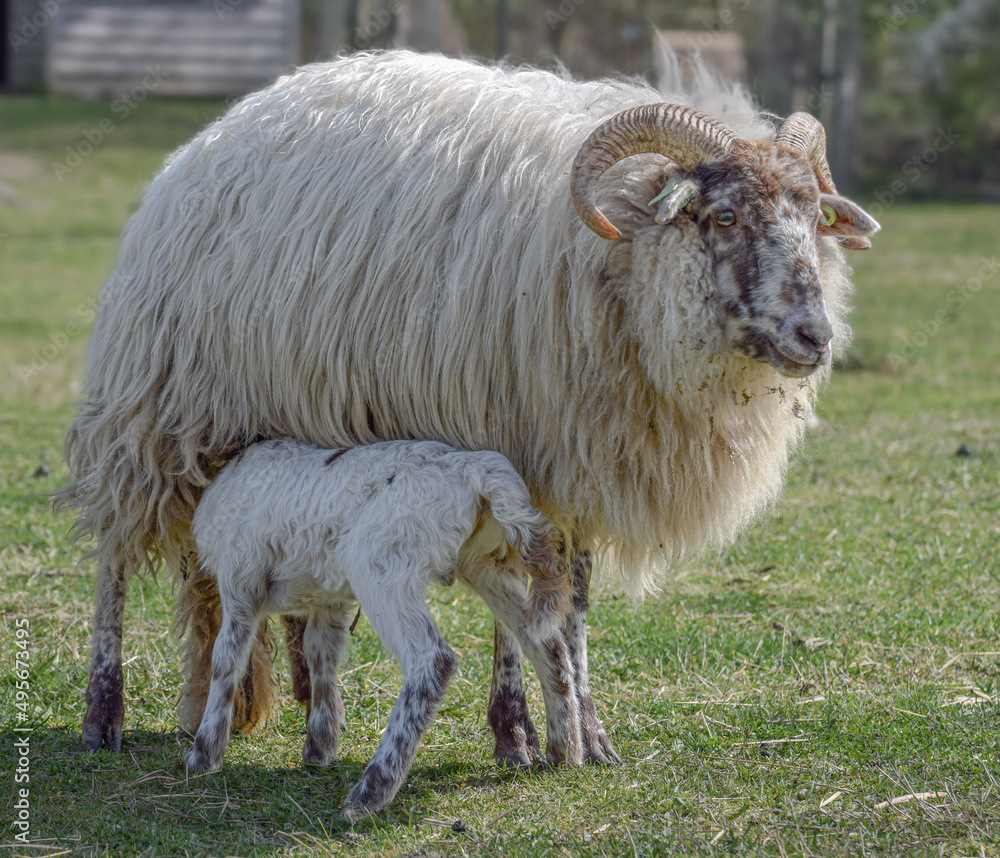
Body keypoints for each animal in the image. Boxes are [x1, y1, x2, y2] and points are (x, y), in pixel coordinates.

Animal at [56, 47, 879, 759]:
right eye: (726, 215)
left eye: (814, 219)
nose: (815, 336)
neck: (622, 257)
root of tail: (224, 124)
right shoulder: (513, 443)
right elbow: (532, 607)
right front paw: (520, 729)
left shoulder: (577, 456)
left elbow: (572, 604)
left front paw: (581, 734)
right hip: (155, 404)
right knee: (112, 558)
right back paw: (104, 713)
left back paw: (301, 698)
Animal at [184, 438, 579, 820]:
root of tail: (478, 470)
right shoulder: (327, 597)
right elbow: (321, 654)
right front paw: (319, 747)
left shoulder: (240, 577)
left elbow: (227, 658)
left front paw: (204, 753)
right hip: (485, 562)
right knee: (547, 643)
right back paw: (564, 750)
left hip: (384, 565)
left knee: (433, 660)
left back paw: (370, 792)